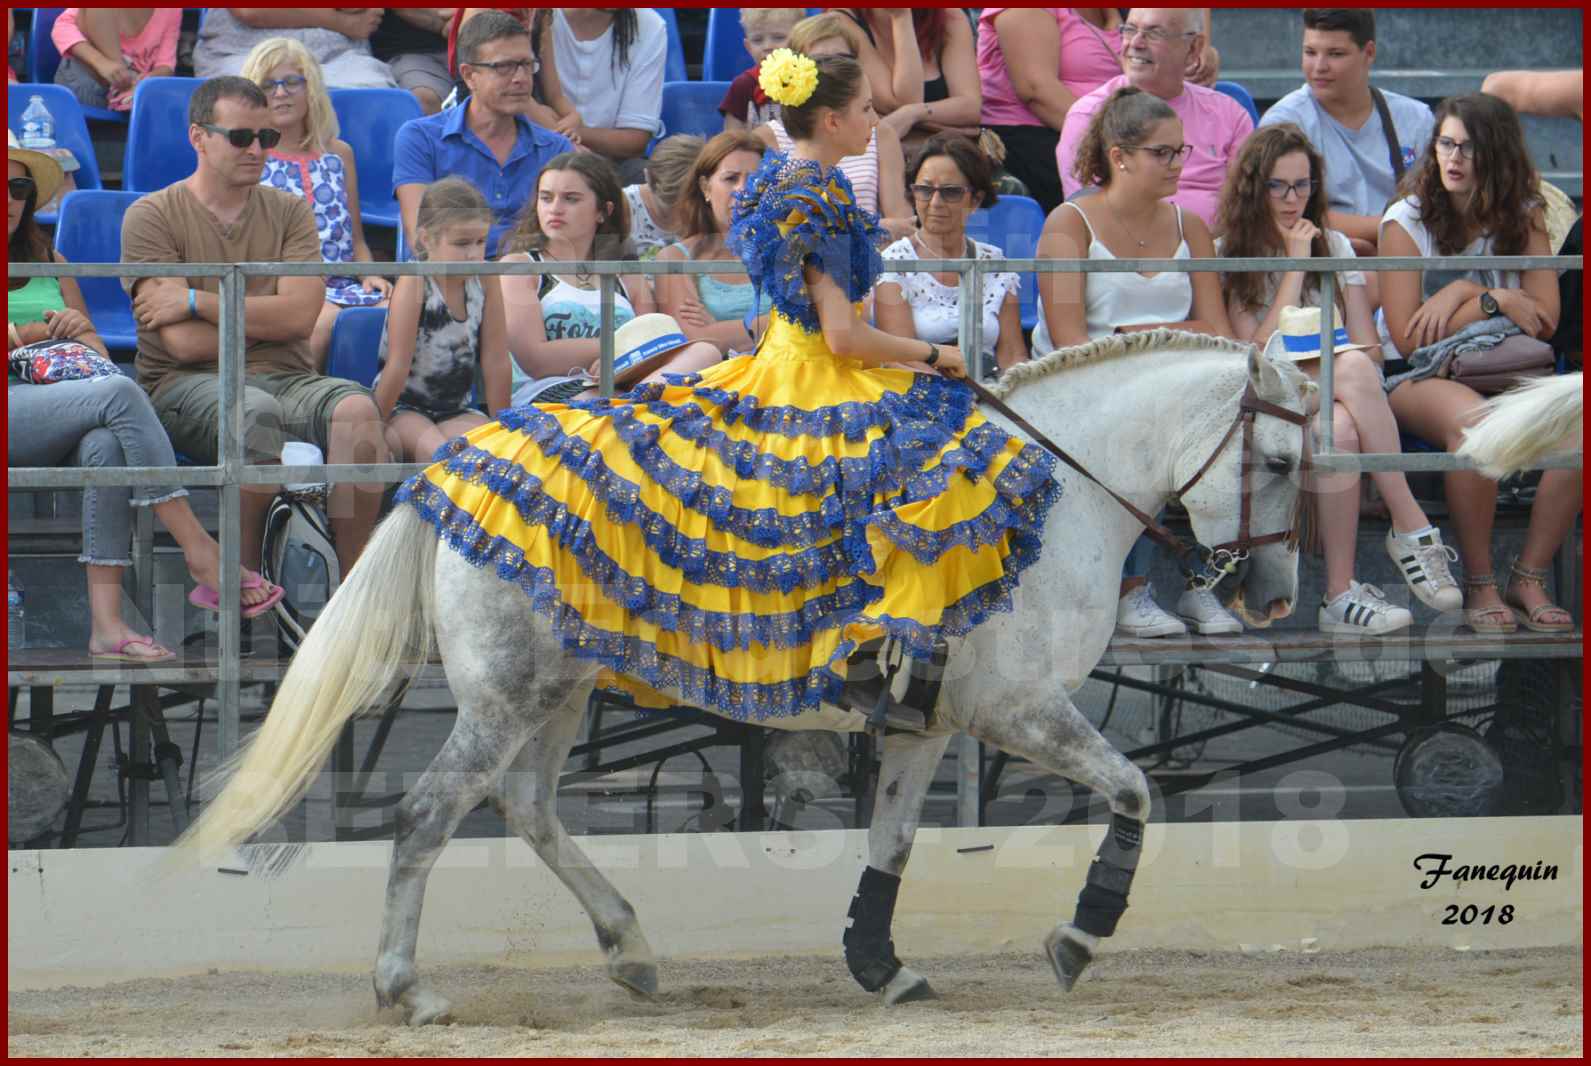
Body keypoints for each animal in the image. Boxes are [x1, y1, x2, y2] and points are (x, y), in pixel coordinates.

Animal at [180, 332, 1310, 1024]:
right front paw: (1079, 936)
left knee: (529, 807)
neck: (1046, 495)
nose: (1272, 595)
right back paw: (406, 989)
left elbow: (893, 841)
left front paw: (879, 964)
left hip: (556, 693)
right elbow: (1133, 788)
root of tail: (455, 470)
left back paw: (630, 949)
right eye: (1285, 463)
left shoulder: (929, 719)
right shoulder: (1021, 708)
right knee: (428, 814)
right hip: (508, 692)